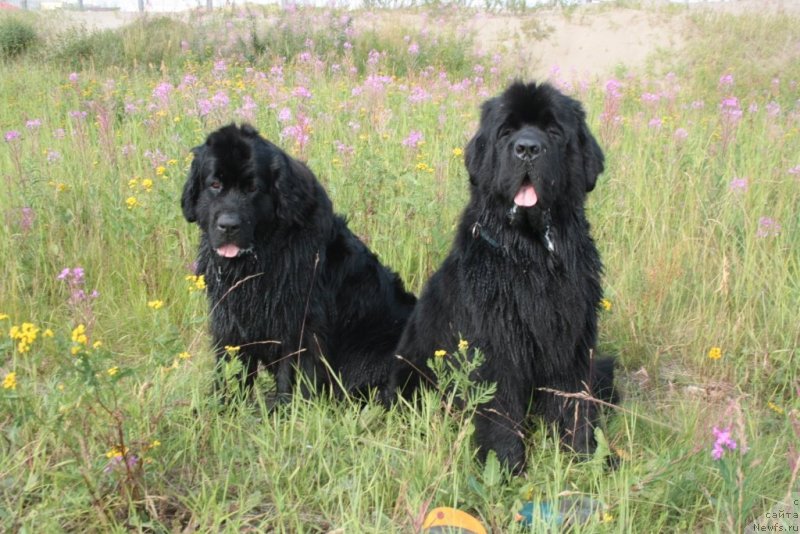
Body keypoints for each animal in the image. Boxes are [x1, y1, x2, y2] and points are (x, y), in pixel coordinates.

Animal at [180, 123, 416, 404]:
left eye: (252, 188)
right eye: (215, 184)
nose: (228, 226)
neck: (261, 257)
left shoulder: (299, 320)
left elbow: (293, 371)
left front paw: (284, 407)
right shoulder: (230, 319)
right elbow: (232, 367)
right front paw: (227, 403)